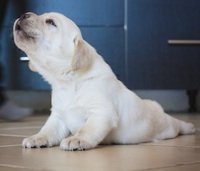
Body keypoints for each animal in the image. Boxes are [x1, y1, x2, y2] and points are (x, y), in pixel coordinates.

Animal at [13, 12, 195, 151]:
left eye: (50, 22)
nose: (23, 15)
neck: (68, 81)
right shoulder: (58, 116)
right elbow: (48, 130)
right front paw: (37, 138)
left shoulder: (101, 112)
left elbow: (87, 129)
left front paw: (76, 140)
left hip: (169, 127)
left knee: (178, 125)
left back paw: (189, 127)